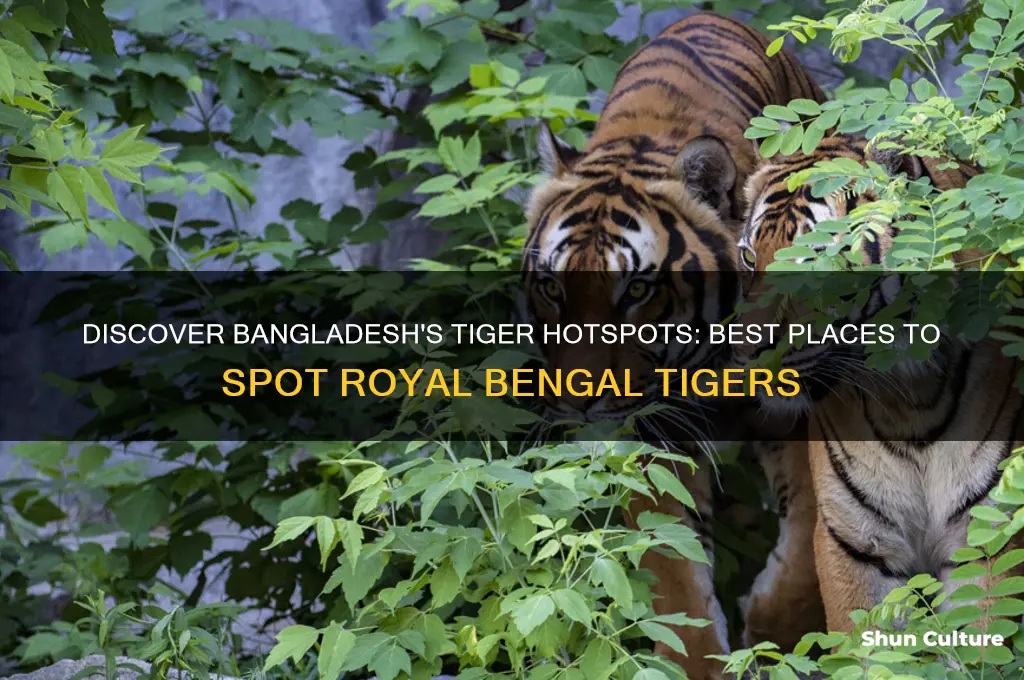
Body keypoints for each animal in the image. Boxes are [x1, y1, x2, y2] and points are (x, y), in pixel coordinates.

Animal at [521, 12, 827, 678]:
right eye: (553, 288)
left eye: (637, 289)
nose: (577, 401)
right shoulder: (649, 432)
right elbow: (673, 574)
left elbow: (805, 544)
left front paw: (774, 635)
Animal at [733, 133, 1024, 637]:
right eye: (749, 257)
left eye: (817, 260)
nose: (744, 351)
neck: (911, 402)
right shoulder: (854, 541)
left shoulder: (989, 535)